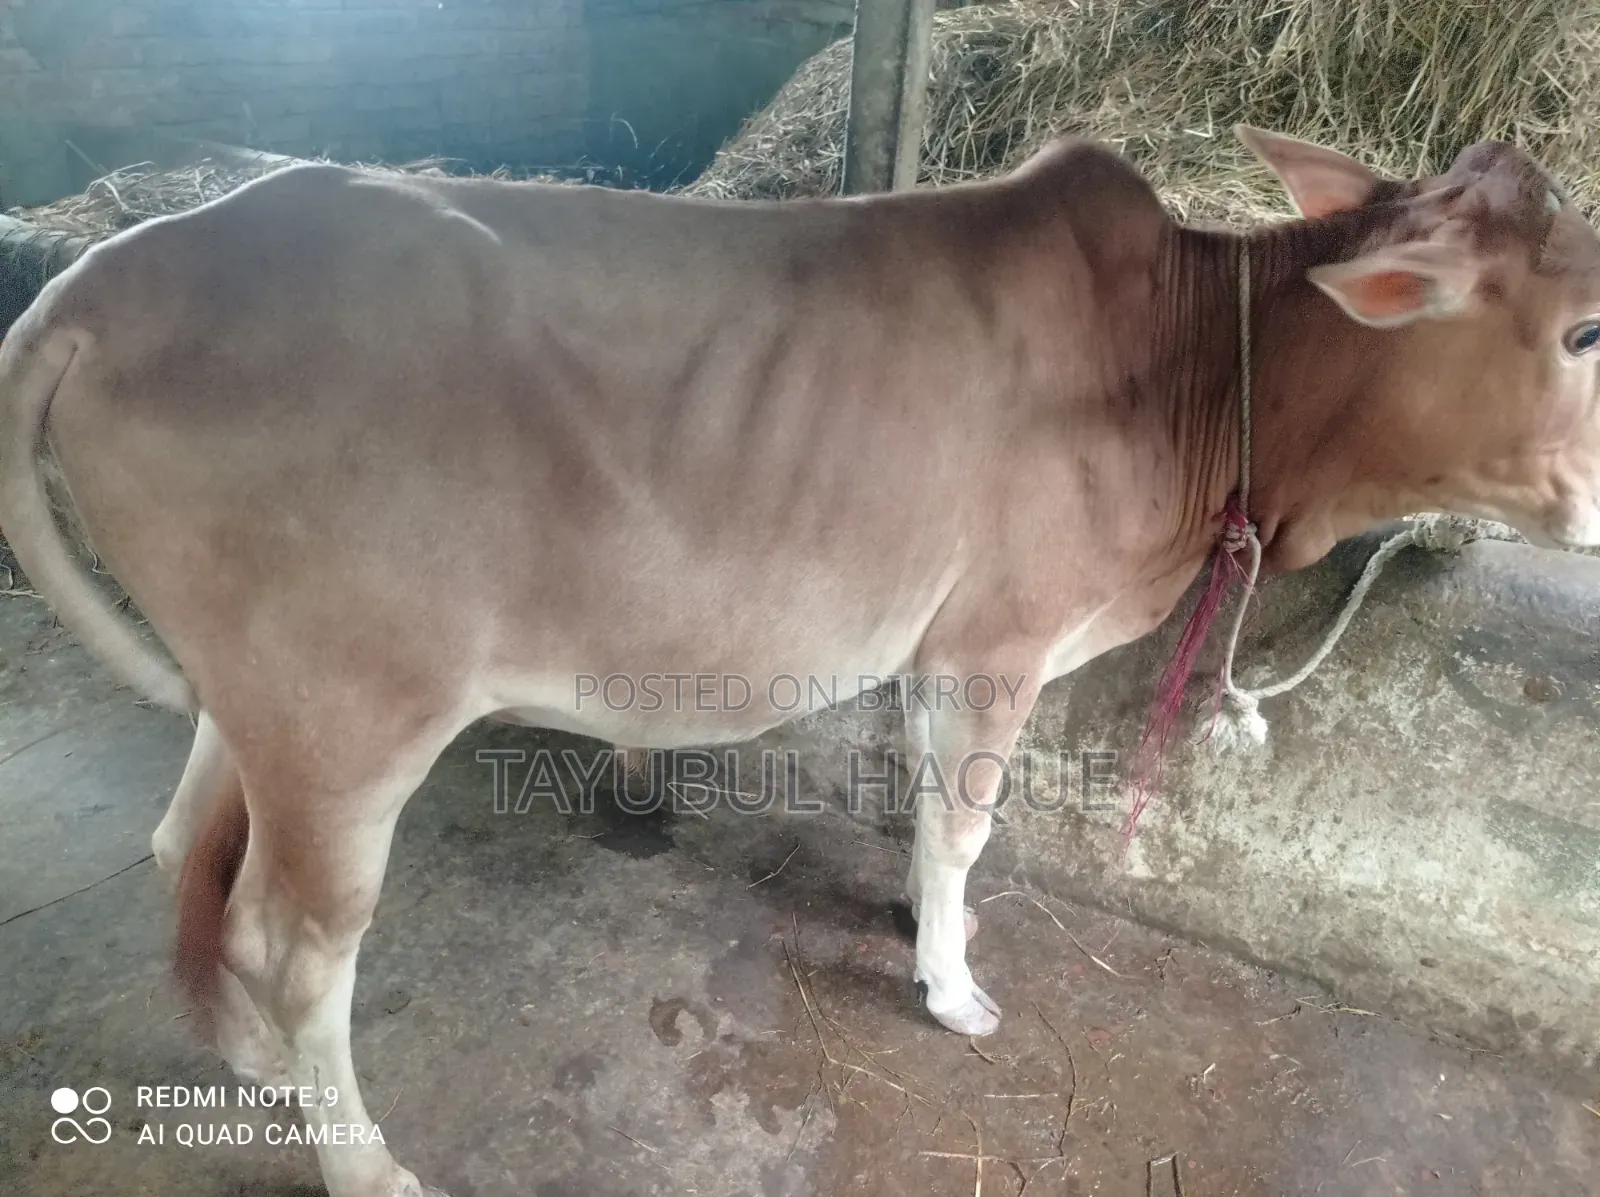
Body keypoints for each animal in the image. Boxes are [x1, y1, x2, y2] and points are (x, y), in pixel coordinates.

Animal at [3, 124, 1599, 1197]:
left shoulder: (935, 639)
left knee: (188, 855)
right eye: (1585, 328)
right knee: (293, 937)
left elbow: (927, 804)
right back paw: (360, 1158)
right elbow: (966, 822)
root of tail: (106, 276)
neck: (1198, 371)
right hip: (350, 706)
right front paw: (951, 985)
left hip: (257, 694)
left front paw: (916, 920)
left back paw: (258, 1068)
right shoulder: (1000, 632)